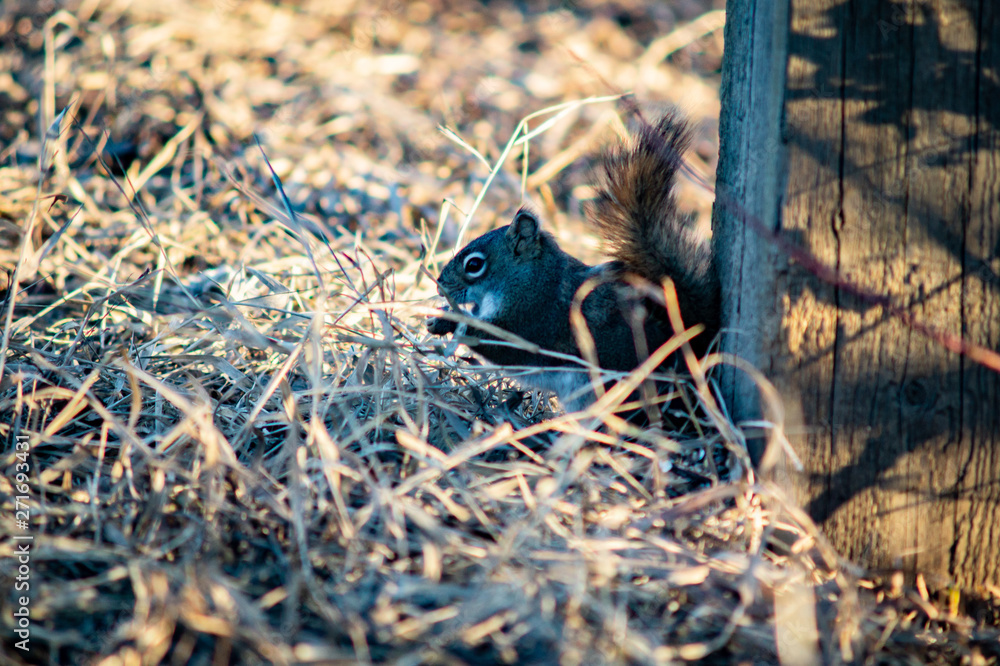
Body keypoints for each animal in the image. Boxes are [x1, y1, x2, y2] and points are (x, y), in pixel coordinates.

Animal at [426, 111, 720, 410]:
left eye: (474, 265)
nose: (439, 285)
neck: (530, 278)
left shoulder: (534, 316)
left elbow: (502, 345)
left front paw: (449, 320)